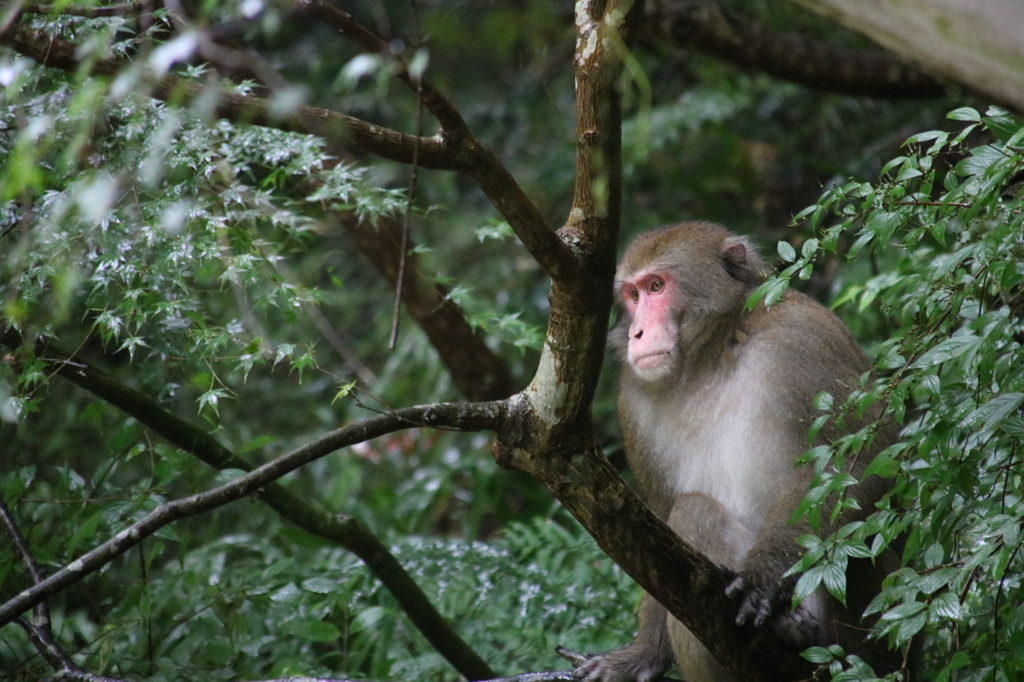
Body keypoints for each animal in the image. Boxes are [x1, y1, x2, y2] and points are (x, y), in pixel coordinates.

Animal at [577, 220, 905, 675]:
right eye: (633, 295)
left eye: (657, 286)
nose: (636, 332)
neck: (710, 355)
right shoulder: (633, 399)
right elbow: (656, 528)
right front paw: (640, 655)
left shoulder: (803, 336)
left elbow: (868, 453)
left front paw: (763, 579)